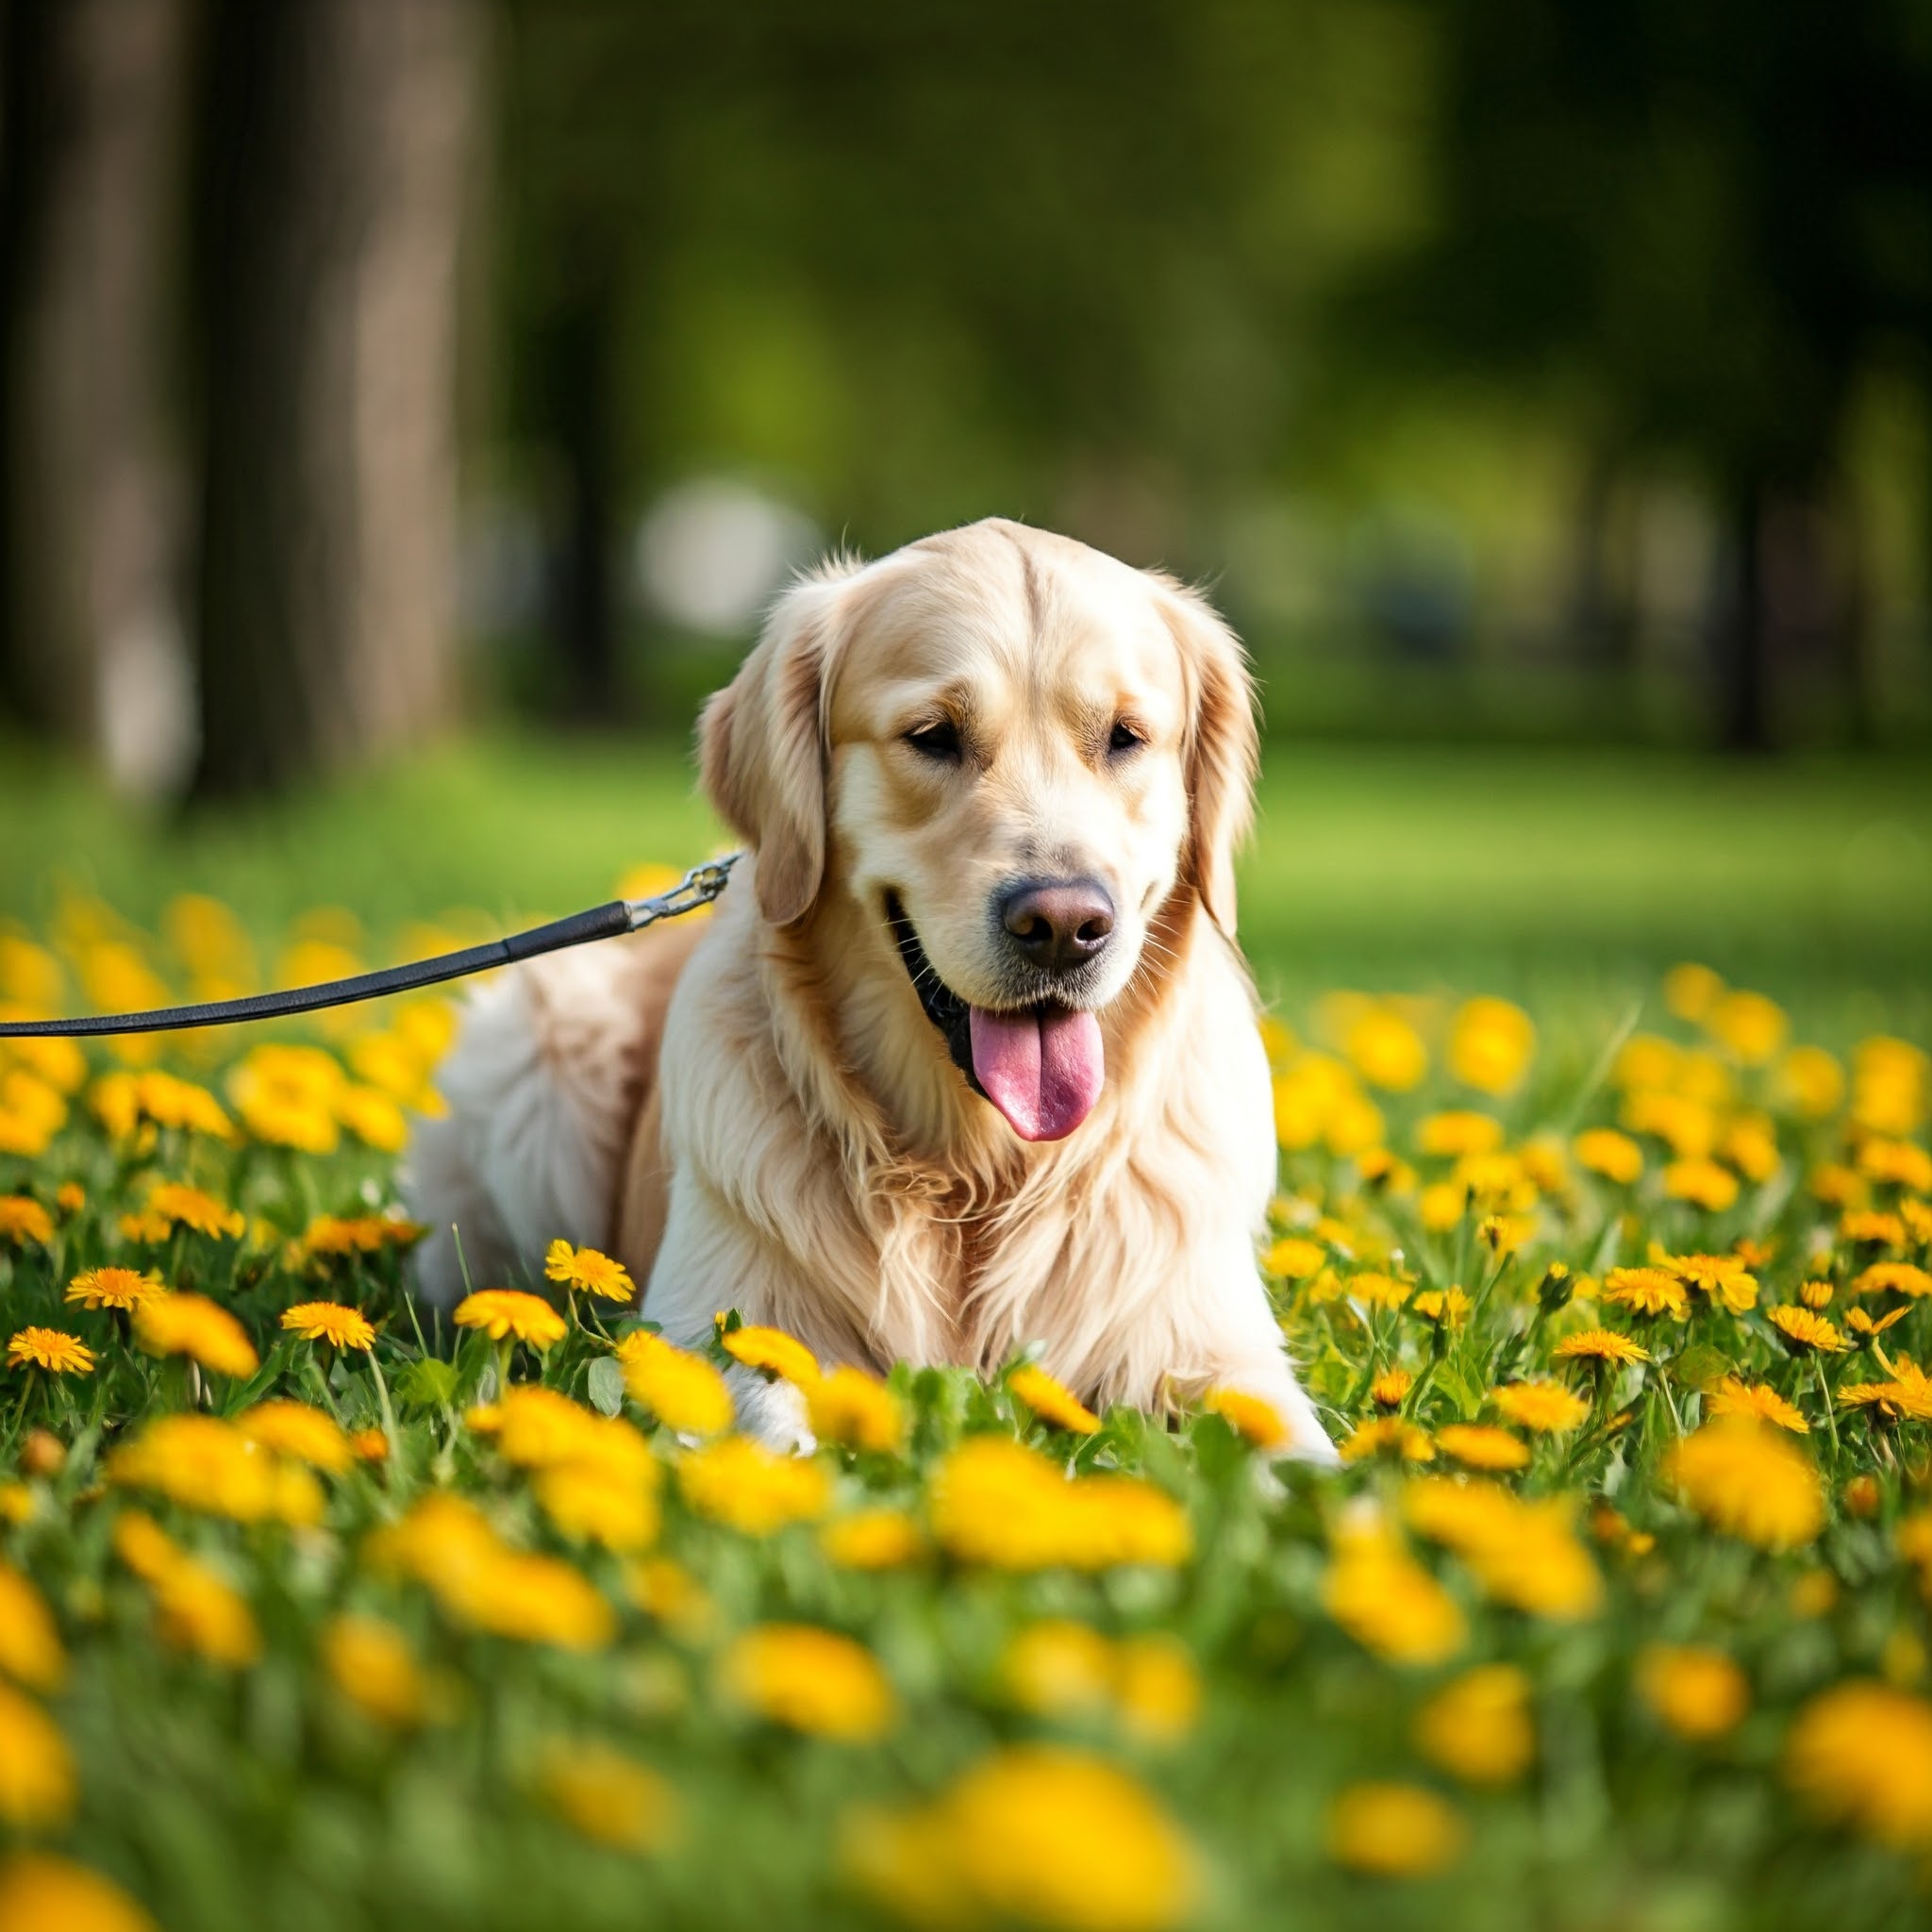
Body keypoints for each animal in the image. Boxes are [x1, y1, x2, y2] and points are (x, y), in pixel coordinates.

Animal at [408, 521, 1337, 1453]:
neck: (977, 1178)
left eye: (1125, 737)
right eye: (933, 735)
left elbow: (1307, 1459)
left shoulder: (1217, 1349)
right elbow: (774, 1437)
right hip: (536, 1049)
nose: (1065, 926)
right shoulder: (713, 1331)